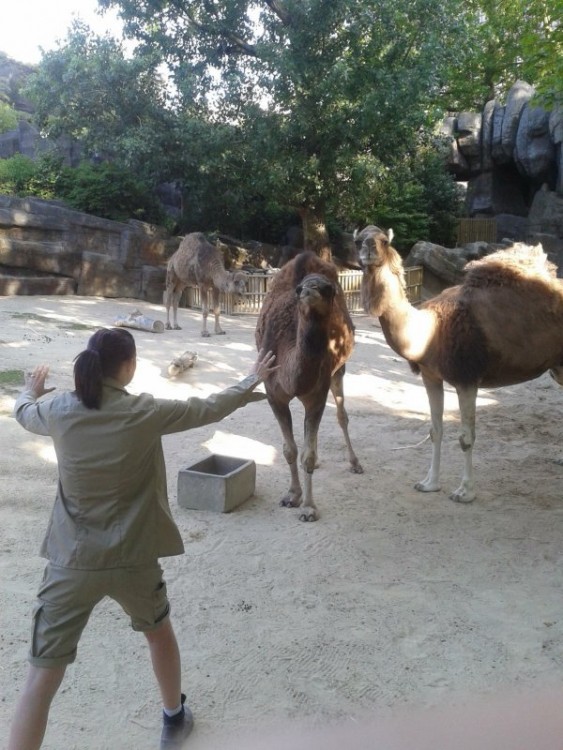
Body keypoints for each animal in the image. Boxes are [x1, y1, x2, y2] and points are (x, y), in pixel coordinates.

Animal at [256, 250, 366, 520]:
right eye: (299, 288)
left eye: (328, 289)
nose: (309, 291)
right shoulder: (274, 394)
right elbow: (290, 449)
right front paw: (292, 495)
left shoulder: (318, 392)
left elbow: (307, 453)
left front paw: (308, 507)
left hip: (339, 371)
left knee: (341, 415)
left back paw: (355, 463)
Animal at [360, 226, 563, 502]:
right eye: (357, 239)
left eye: (383, 240)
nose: (368, 249)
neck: (430, 330)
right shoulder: (431, 376)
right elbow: (435, 431)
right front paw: (429, 483)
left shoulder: (466, 378)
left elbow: (466, 437)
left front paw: (465, 491)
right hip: (558, 366)